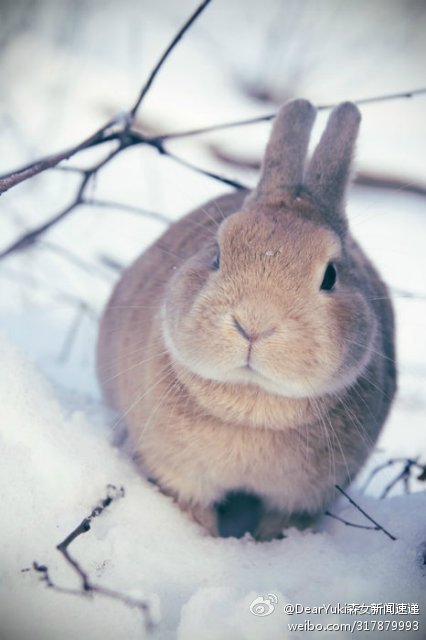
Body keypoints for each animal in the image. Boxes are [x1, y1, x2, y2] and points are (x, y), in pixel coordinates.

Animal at [96, 100, 396, 540]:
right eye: (217, 255)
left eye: (331, 276)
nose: (254, 324)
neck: (252, 404)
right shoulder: (180, 477)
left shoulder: (300, 501)